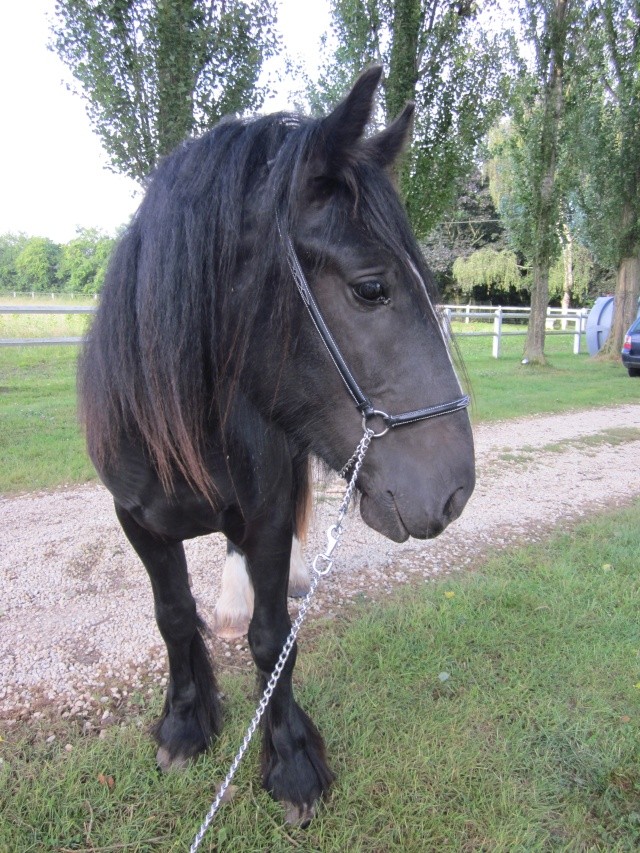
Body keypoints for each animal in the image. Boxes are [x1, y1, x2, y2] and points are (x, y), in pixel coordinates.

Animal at [79, 70, 476, 824]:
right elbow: (173, 616)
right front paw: (185, 722)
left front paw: (291, 760)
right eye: (371, 287)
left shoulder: (264, 515)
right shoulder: (135, 521)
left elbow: (273, 636)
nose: (455, 491)